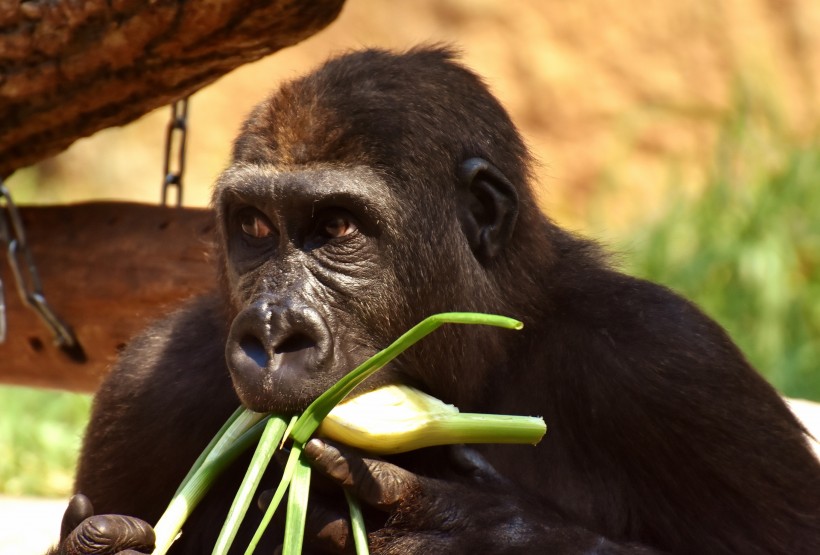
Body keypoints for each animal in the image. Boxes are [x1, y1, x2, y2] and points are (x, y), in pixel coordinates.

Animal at [49, 47, 820, 555]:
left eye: (337, 228)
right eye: (256, 228)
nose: (271, 334)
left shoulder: (676, 363)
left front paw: (459, 526)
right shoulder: (149, 382)